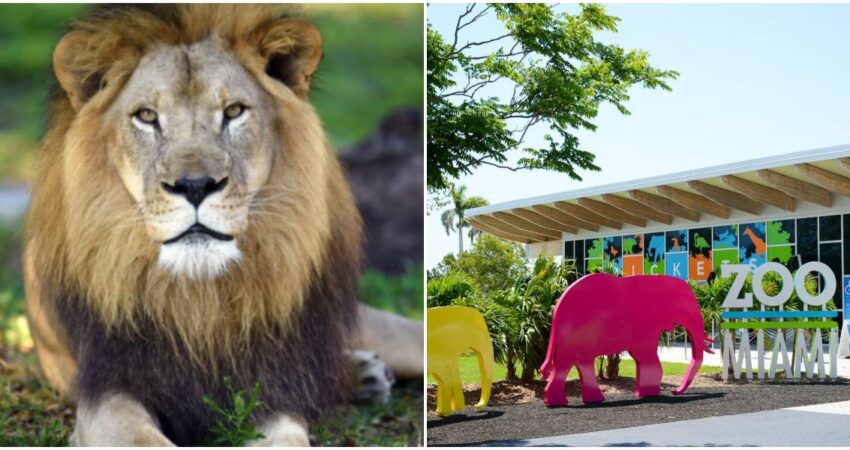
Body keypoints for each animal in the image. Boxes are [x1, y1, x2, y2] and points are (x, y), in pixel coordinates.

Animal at [23, 4, 423, 446]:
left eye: (233, 111)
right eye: (146, 116)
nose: (195, 186)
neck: (201, 299)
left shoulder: (269, 388)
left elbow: (290, 435)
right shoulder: (108, 391)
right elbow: (140, 437)